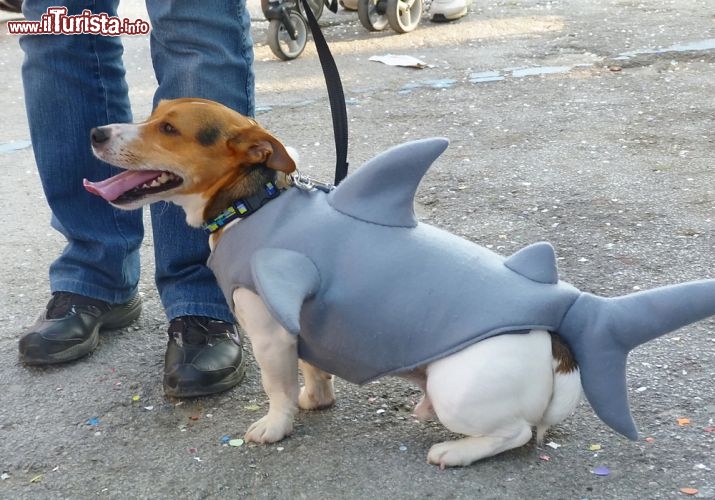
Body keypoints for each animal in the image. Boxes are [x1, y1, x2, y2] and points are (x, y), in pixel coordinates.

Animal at [85, 98, 715, 468]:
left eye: (169, 129)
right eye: (153, 111)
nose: (94, 130)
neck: (253, 203)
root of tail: (563, 345)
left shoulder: (269, 328)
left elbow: (276, 386)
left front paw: (275, 425)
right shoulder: (301, 327)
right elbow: (311, 370)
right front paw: (317, 399)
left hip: (460, 389)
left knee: (514, 434)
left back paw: (452, 451)